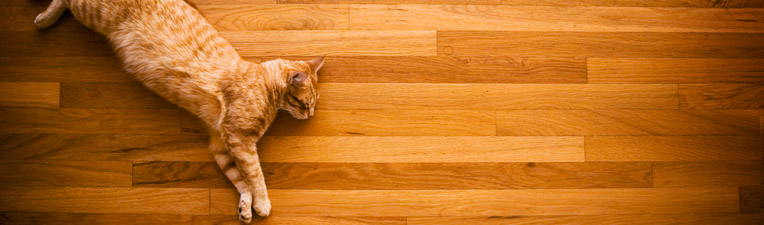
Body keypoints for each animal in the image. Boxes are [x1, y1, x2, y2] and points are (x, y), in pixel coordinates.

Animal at [35, 0, 322, 221]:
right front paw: (262, 203)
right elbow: (255, 176)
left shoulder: (221, 145)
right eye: (305, 104)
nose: (310, 115)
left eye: (313, 104)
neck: (262, 83)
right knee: (63, 0)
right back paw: (43, 19)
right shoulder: (240, 140)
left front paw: (245, 206)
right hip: (90, 11)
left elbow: (240, 179)